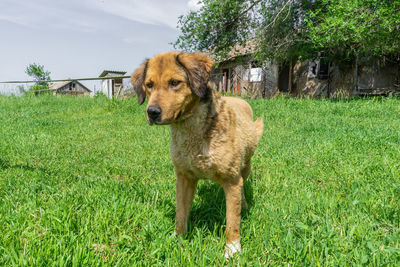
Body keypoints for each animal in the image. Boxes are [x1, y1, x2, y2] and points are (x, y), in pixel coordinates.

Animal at [130, 51, 264, 258]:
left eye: (174, 82)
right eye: (149, 85)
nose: (152, 112)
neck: (192, 132)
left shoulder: (231, 180)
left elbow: (232, 220)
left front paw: (232, 248)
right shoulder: (184, 178)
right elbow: (181, 213)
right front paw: (178, 239)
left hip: (245, 167)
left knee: (242, 188)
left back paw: (244, 206)